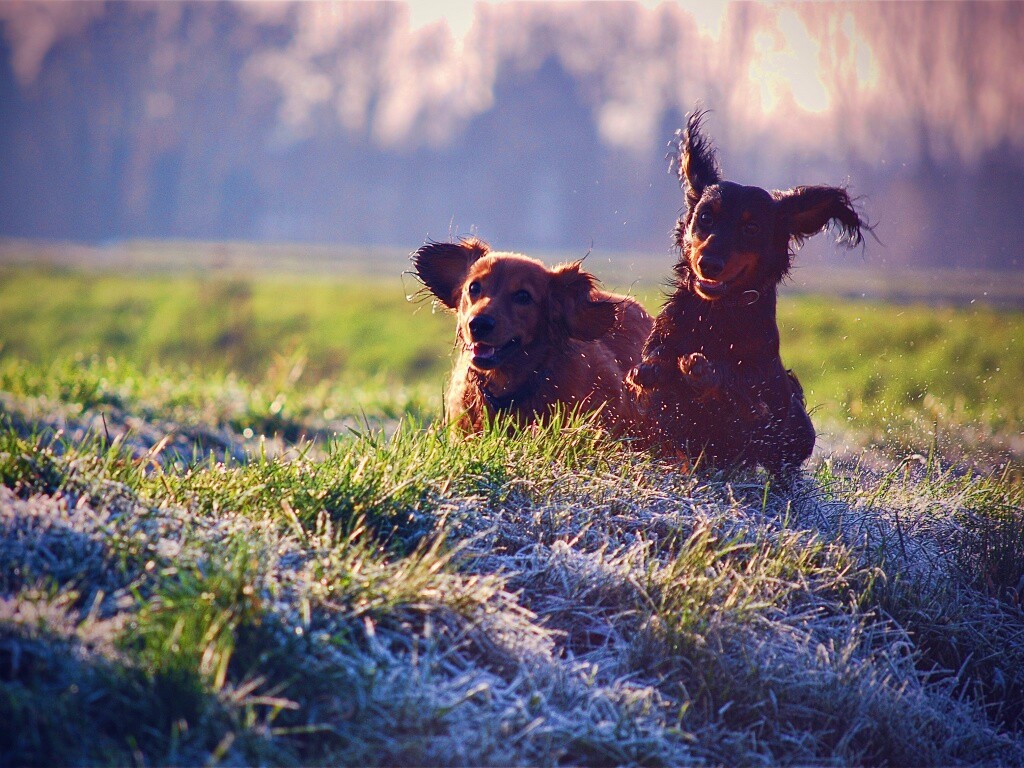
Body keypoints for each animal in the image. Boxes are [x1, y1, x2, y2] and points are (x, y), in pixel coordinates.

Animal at [626, 111, 868, 479]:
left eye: (751, 227)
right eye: (705, 217)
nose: (709, 264)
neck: (717, 313)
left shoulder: (763, 399)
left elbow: (743, 392)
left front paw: (703, 370)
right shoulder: (660, 354)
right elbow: (654, 367)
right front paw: (654, 370)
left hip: (798, 429)